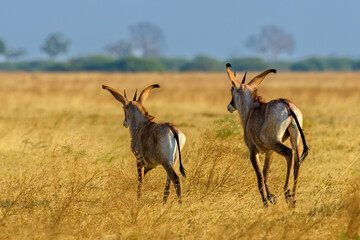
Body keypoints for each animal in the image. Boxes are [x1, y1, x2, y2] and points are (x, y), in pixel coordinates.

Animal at [225, 63, 306, 206]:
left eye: (232, 89)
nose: (230, 106)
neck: (251, 111)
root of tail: (287, 105)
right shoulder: (269, 152)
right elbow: (265, 173)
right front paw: (271, 197)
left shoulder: (253, 151)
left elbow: (259, 176)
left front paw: (266, 201)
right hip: (295, 141)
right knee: (297, 161)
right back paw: (293, 198)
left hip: (274, 142)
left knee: (289, 154)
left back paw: (287, 192)